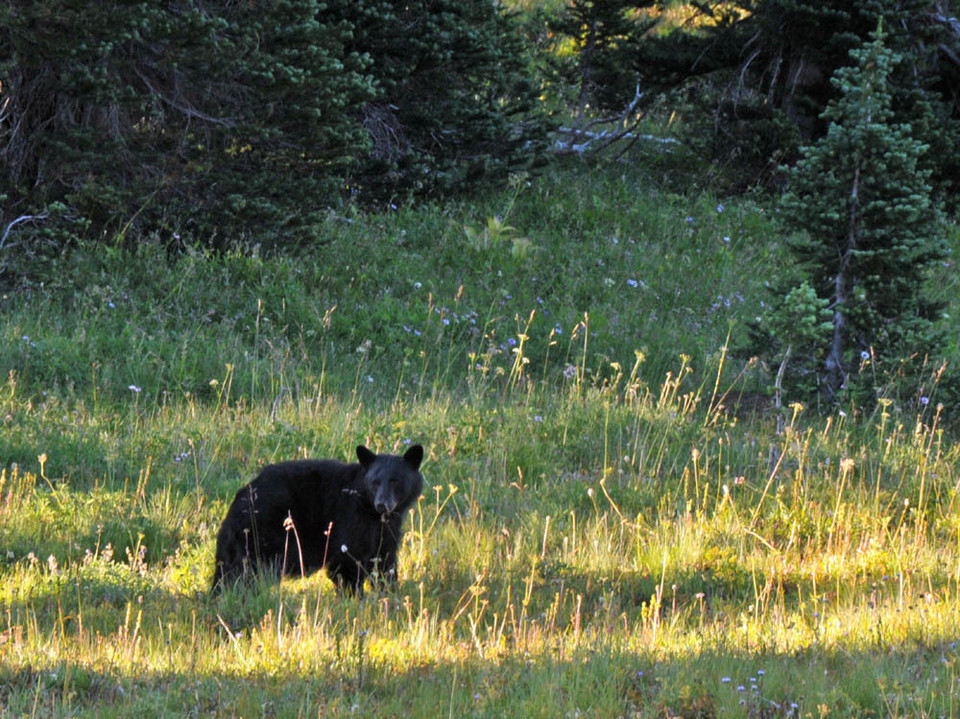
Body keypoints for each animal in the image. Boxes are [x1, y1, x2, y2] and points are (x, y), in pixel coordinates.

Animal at [212, 444, 426, 596]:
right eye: (375, 482)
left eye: (395, 481)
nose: (382, 504)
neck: (372, 512)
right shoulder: (349, 517)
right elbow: (347, 561)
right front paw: (354, 599)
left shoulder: (388, 528)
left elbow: (385, 560)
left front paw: (390, 594)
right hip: (263, 537)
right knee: (244, 575)